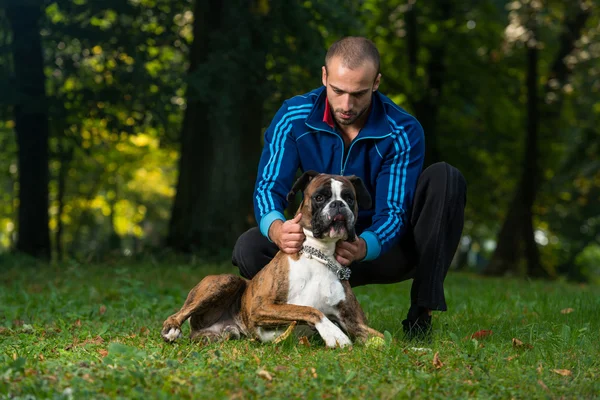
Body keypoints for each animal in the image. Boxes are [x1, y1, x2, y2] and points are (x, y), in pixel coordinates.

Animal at [161, 170, 384, 348]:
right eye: (320, 197)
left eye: (350, 198)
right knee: (180, 313)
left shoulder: (353, 321)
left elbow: (382, 338)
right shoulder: (262, 307)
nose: (338, 204)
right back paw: (171, 329)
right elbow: (311, 310)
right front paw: (334, 334)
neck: (320, 254)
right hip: (226, 280)